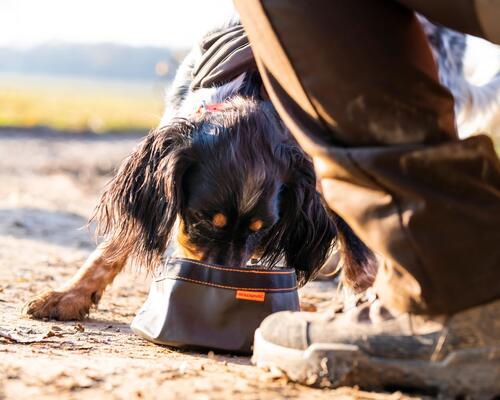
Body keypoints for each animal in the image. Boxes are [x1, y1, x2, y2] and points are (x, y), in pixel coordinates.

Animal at [24, 18, 500, 320]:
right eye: (202, 218)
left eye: (261, 227)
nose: (215, 283)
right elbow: (115, 243)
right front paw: (70, 295)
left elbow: (360, 256)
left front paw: (362, 305)